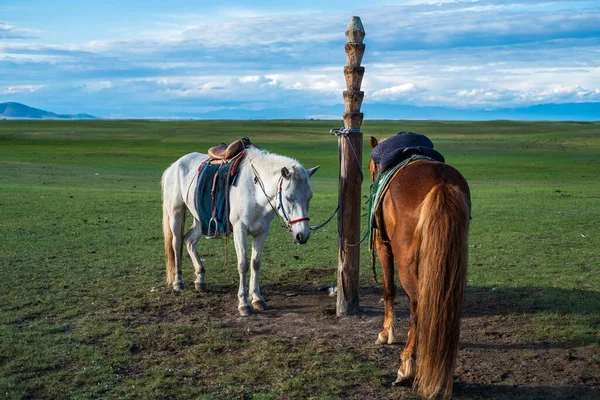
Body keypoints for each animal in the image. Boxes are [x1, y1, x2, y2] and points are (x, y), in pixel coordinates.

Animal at [159, 145, 318, 316]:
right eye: (288, 198)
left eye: (310, 197)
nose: (302, 235)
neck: (255, 190)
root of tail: (173, 166)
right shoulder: (239, 230)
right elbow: (243, 264)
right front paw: (244, 303)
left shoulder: (262, 232)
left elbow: (256, 263)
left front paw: (257, 299)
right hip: (176, 213)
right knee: (177, 243)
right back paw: (178, 282)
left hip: (201, 219)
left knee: (189, 241)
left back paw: (200, 280)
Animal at [368, 136, 472, 398]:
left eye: (370, 168)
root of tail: (440, 182)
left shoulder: (384, 247)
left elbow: (388, 289)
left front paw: (386, 333)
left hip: (405, 262)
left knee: (417, 304)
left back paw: (406, 365)